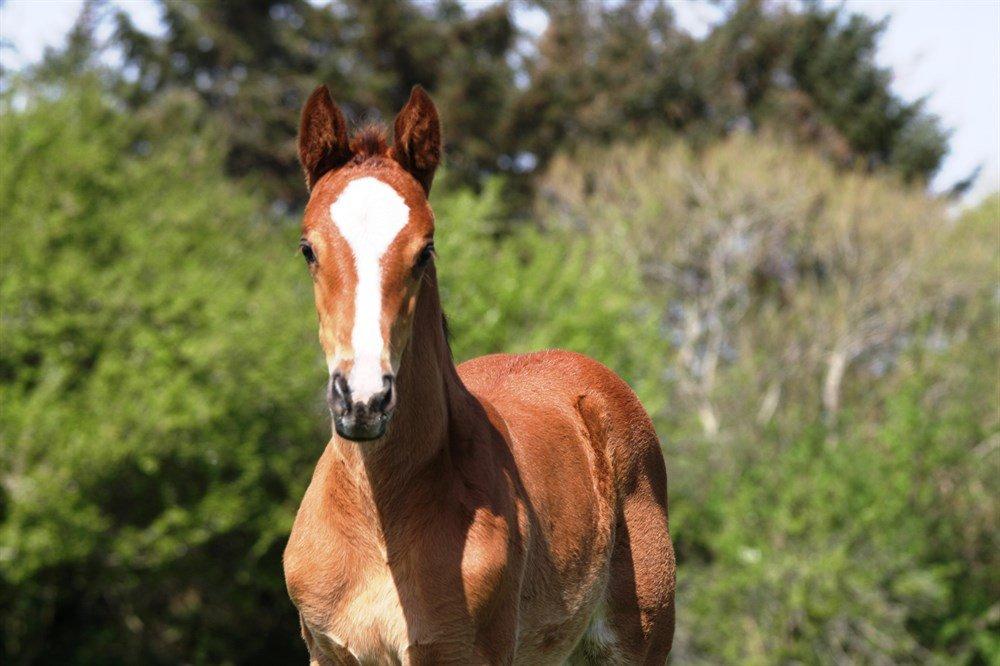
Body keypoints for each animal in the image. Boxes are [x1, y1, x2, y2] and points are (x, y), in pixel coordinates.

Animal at [282, 85, 676, 660]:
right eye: (308, 248)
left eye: (425, 250)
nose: (363, 401)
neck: (379, 520)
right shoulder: (326, 651)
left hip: (638, 642)